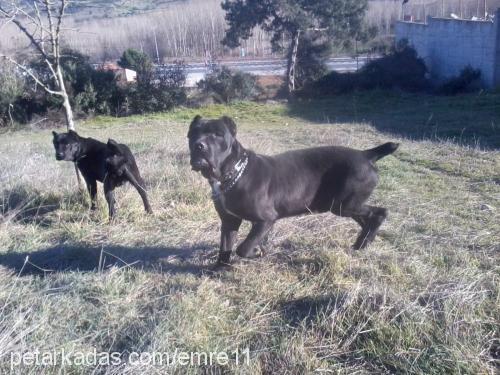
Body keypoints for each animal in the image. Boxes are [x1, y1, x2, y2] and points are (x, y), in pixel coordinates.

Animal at [188, 116, 398, 266]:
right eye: (192, 134)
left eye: (218, 134)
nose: (199, 145)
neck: (234, 172)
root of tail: (365, 154)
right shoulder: (229, 221)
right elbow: (225, 247)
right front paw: (219, 270)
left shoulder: (265, 219)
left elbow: (244, 248)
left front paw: (257, 252)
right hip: (345, 205)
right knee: (367, 219)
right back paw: (362, 243)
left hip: (344, 204)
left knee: (380, 213)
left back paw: (364, 242)